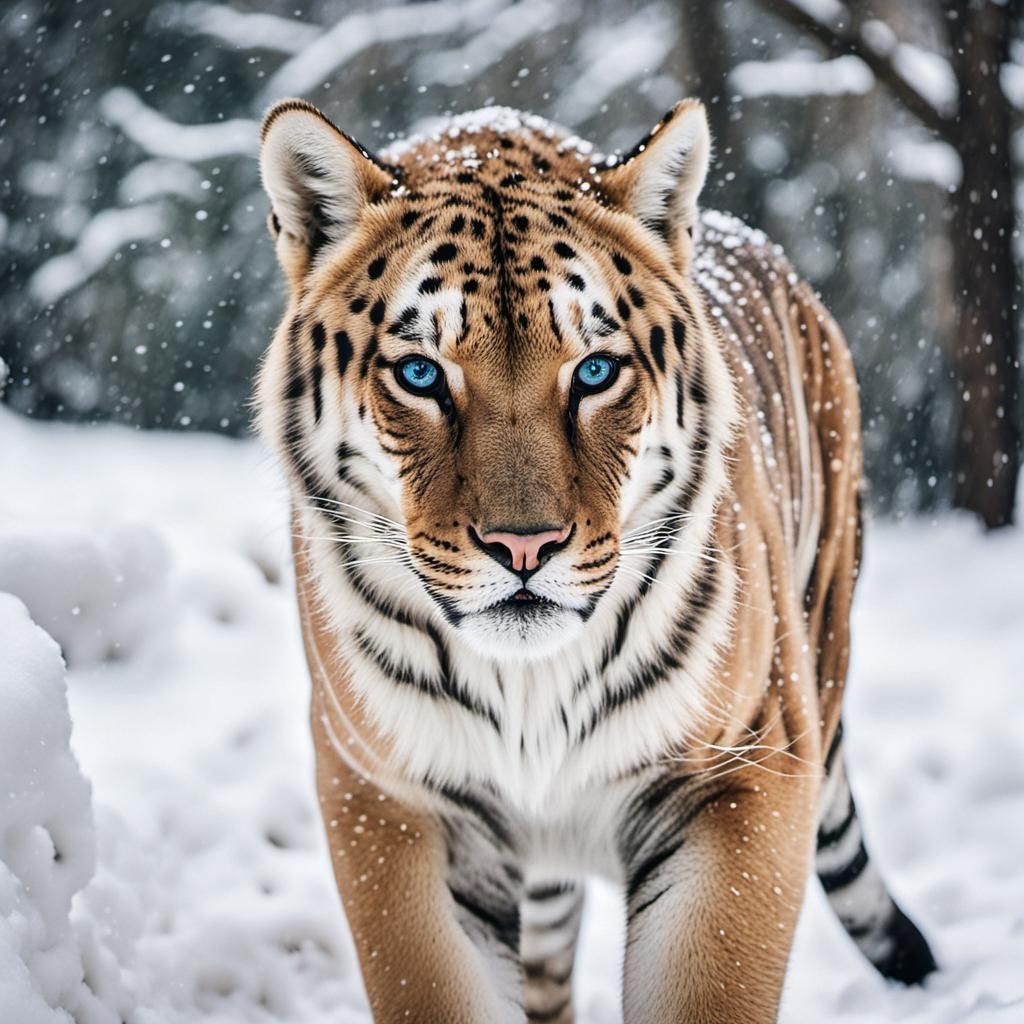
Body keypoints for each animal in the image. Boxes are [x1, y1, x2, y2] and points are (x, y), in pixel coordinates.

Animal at [254, 96, 936, 1023]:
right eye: (422, 374)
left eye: (596, 371)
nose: (524, 546)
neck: (528, 691)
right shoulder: (390, 802)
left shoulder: (746, 772)